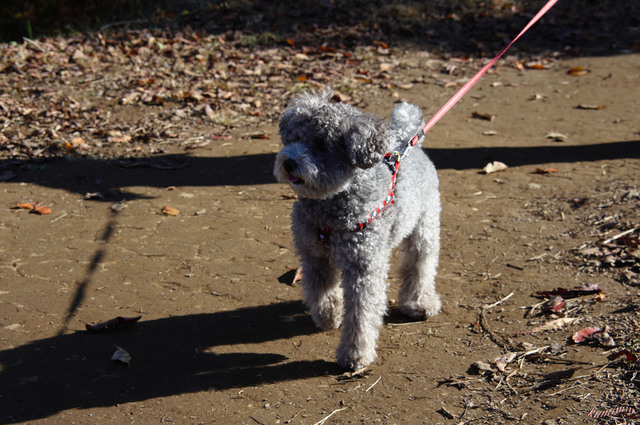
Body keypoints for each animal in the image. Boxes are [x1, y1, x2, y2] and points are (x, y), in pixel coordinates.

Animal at [276, 88, 440, 368]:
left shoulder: (363, 266)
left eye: (321, 145)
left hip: (424, 225)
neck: (329, 206)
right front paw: (329, 316)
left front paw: (355, 354)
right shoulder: (313, 255)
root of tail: (407, 140)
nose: (288, 162)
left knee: (420, 264)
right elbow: (320, 292)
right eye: (294, 139)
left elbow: (361, 314)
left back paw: (418, 303)